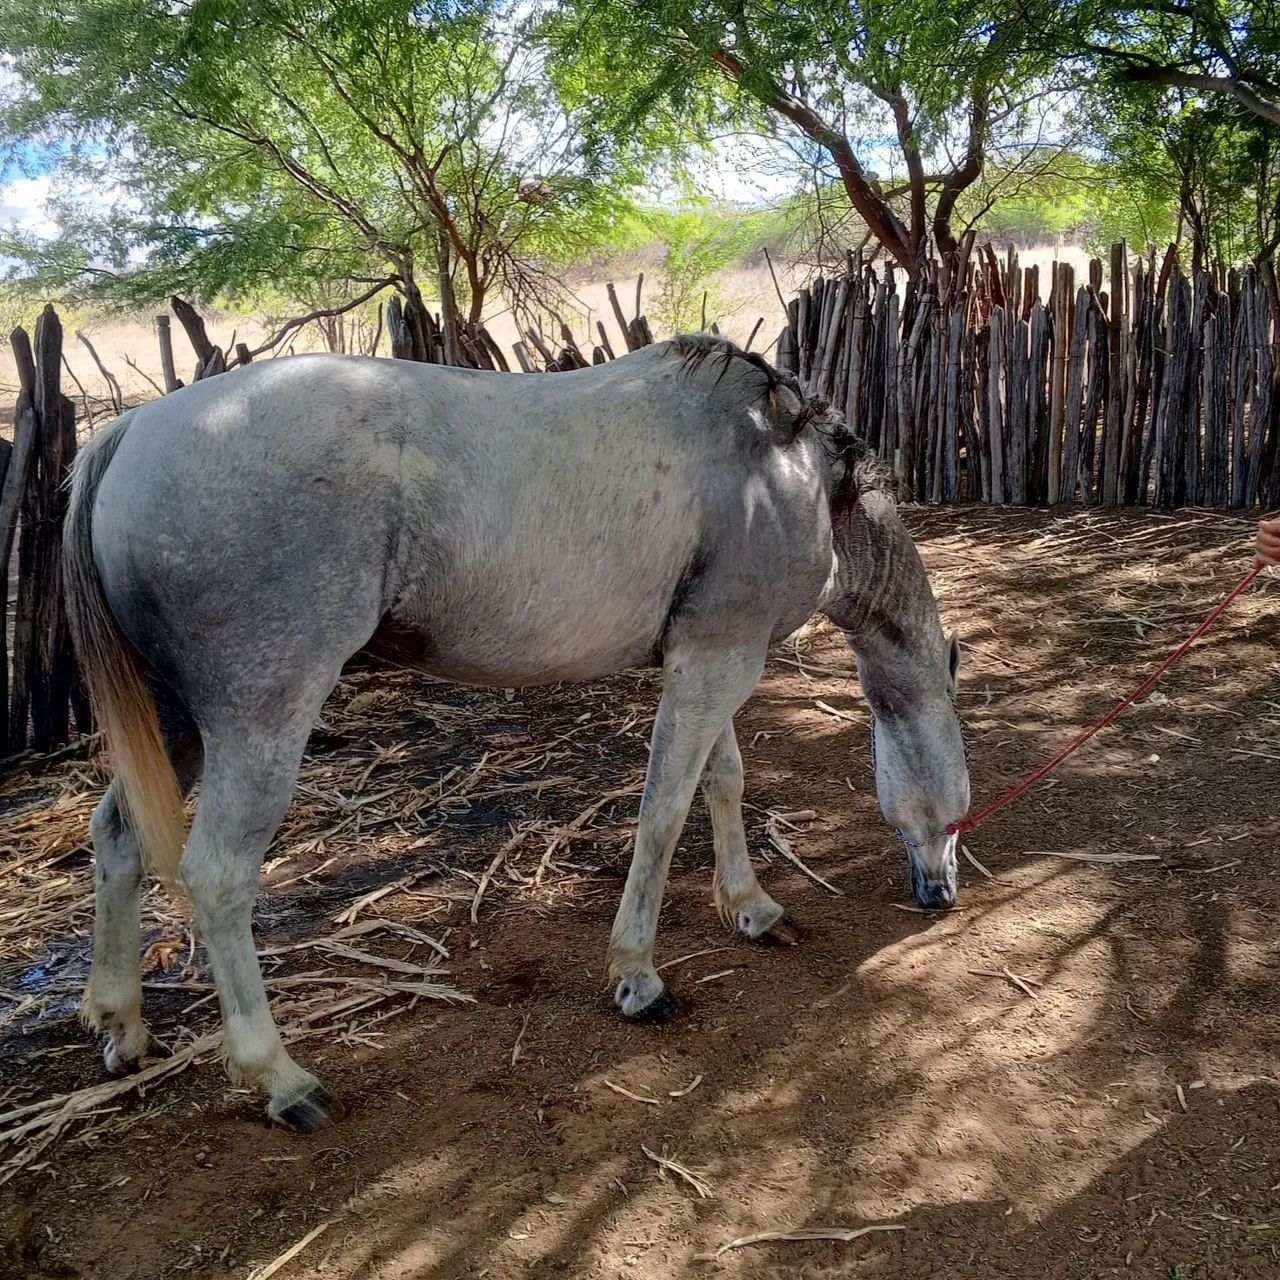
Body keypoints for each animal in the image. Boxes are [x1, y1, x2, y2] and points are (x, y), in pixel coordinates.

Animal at [62, 334, 969, 1131]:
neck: (786, 467)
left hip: (177, 722)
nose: (944, 892)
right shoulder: (719, 661)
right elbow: (665, 811)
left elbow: (721, 781)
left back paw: (121, 1023)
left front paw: (750, 906)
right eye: (959, 811)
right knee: (217, 875)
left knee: (117, 838)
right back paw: (280, 1078)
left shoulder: (711, 659)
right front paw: (638, 976)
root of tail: (132, 431)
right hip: (259, 722)